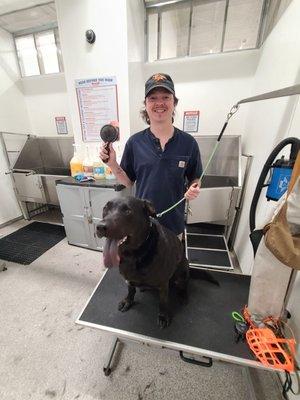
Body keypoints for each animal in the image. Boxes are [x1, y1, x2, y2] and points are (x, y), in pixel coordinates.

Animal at [97, 197, 217, 328]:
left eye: (127, 211)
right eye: (105, 208)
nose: (100, 227)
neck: (134, 255)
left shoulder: (163, 283)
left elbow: (163, 302)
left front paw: (163, 316)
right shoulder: (128, 278)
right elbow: (131, 290)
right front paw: (128, 301)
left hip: (183, 270)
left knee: (184, 284)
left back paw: (183, 296)